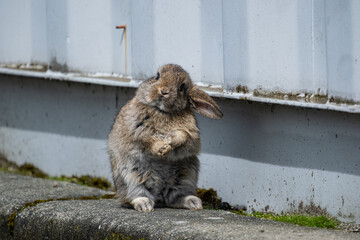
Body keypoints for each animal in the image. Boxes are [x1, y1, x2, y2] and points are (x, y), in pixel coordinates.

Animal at [107, 63, 222, 212]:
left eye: (181, 87)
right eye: (157, 76)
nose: (164, 91)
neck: (162, 111)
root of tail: (160, 195)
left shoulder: (191, 136)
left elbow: (182, 137)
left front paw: (169, 143)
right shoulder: (139, 130)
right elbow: (148, 141)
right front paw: (161, 148)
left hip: (187, 175)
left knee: (174, 198)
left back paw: (193, 202)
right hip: (130, 176)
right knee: (132, 196)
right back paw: (145, 205)